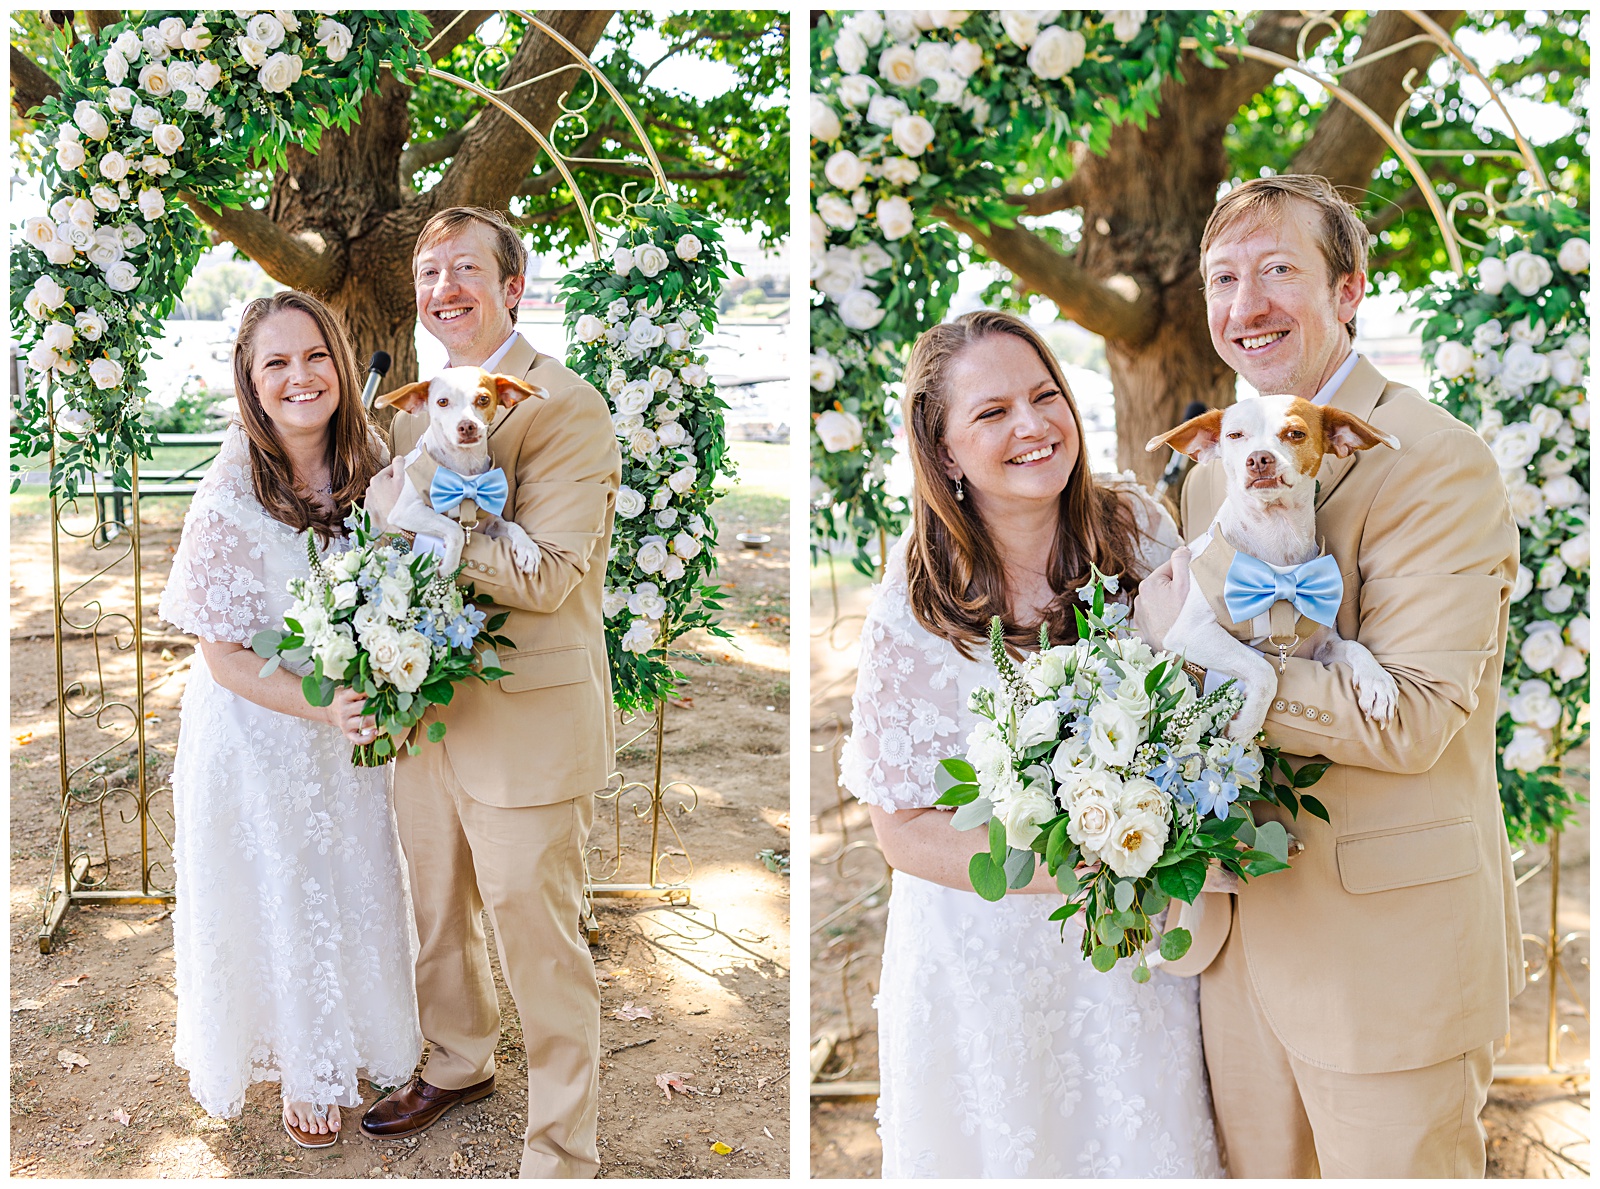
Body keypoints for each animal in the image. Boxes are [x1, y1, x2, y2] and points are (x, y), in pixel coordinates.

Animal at [376, 369, 547, 579]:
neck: (464, 470)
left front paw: (528, 548)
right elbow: (455, 528)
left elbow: (513, 526)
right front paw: (449, 565)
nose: (467, 426)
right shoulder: (406, 511)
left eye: (484, 399)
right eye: (442, 402)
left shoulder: (490, 525)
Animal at [1152, 395, 1401, 739]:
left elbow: (1354, 646)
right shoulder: (1191, 632)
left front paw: (1377, 681)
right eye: (1235, 435)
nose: (1258, 459)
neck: (1277, 542)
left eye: (1296, 433)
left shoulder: (1321, 647)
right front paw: (1246, 726)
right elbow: (1264, 668)